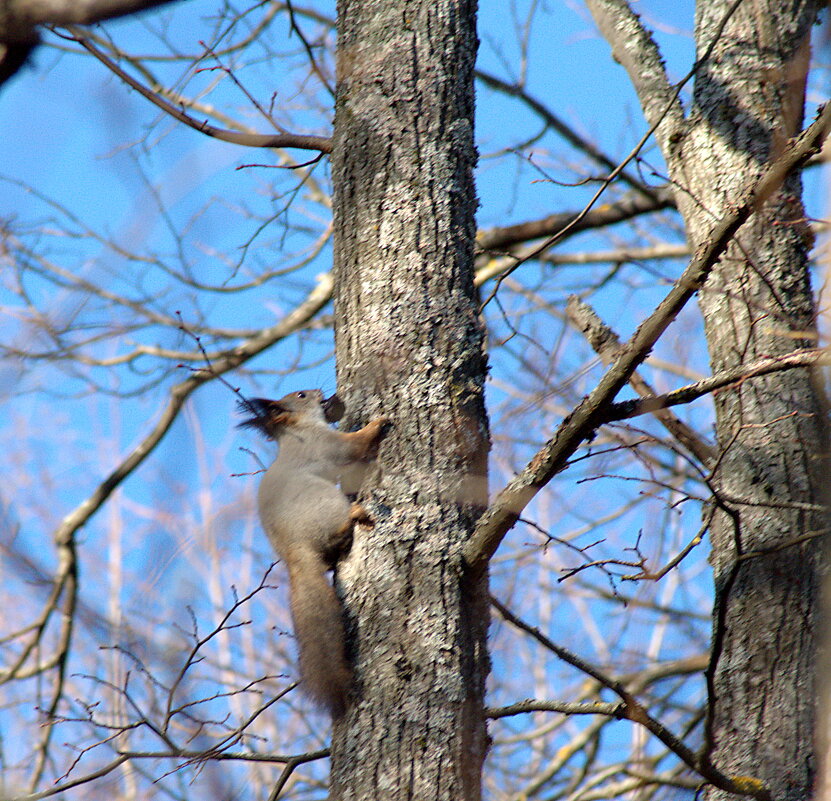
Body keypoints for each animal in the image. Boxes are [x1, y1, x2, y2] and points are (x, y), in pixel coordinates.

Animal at [236, 390, 388, 716]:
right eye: (302, 395)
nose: (321, 393)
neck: (300, 429)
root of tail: (296, 553)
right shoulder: (327, 444)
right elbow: (354, 444)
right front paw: (378, 423)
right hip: (325, 502)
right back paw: (354, 513)